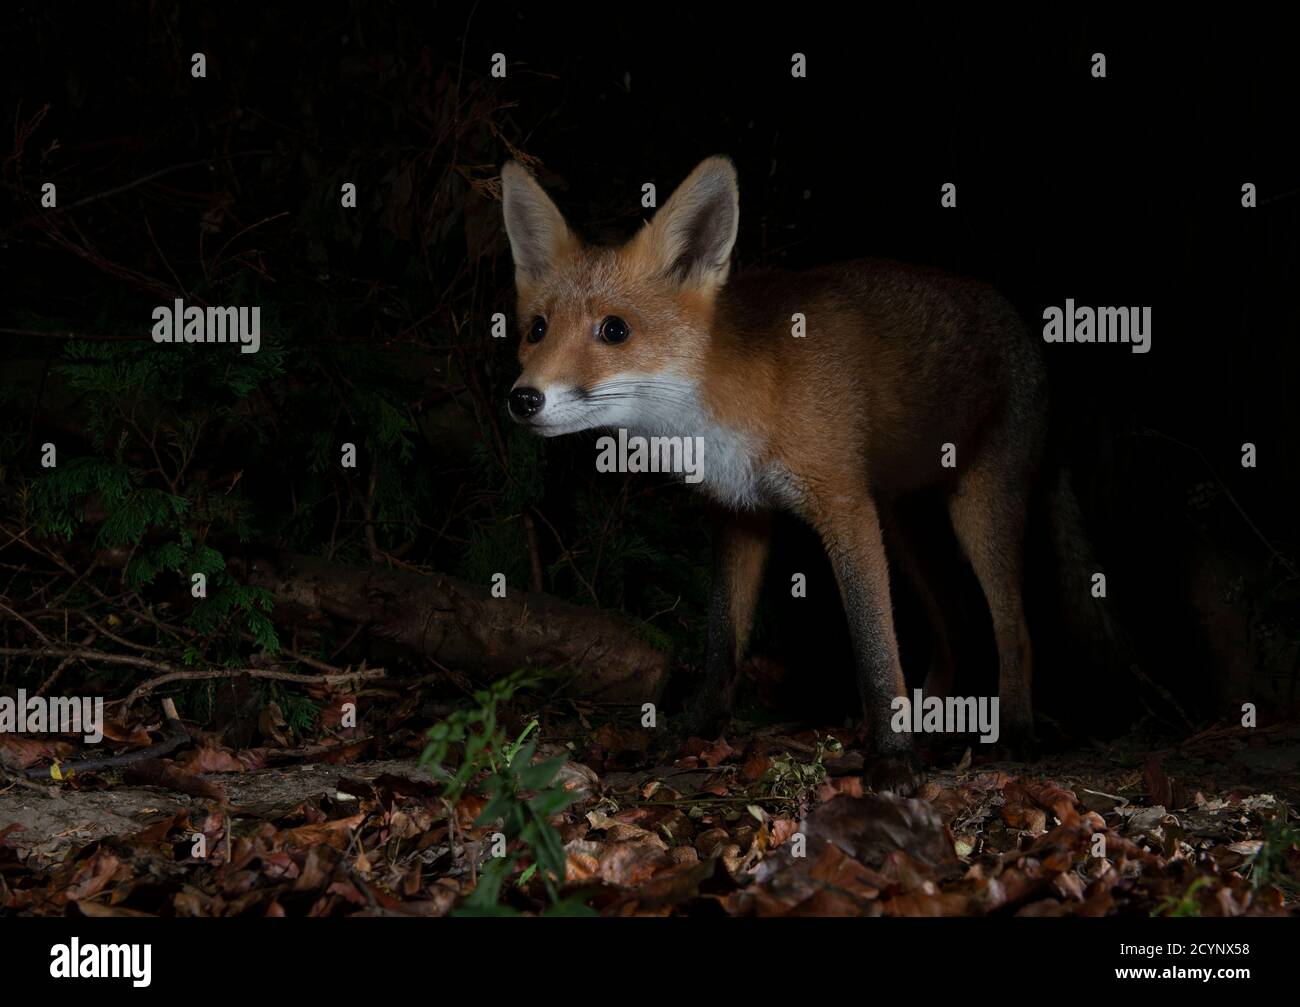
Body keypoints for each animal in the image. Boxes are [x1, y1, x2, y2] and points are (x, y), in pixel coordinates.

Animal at [499, 155, 1060, 794]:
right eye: (536, 329)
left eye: (615, 330)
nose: (523, 399)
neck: (736, 400)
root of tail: (1006, 304)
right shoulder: (740, 513)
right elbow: (723, 641)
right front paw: (697, 729)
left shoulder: (844, 505)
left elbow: (874, 645)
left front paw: (893, 758)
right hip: (905, 526)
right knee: (955, 626)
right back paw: (933, 718)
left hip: (979, 509)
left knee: (1014, 628)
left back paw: (1014, 731)